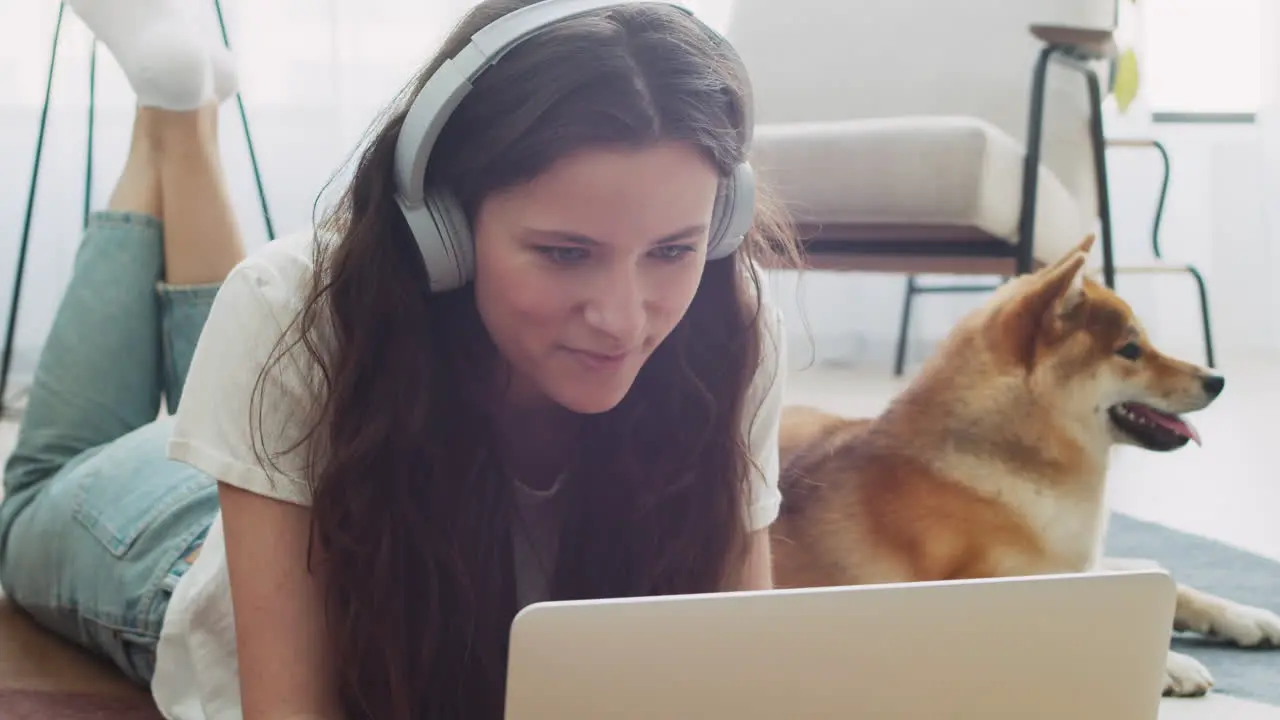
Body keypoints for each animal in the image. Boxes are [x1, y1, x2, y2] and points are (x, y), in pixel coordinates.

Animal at [768, 235, 1280, 696]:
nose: (1218, 379)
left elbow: (1175, 586)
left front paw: (1245, 616)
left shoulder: (1076, 561)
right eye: (1131, 350)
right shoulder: (988, 582)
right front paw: (1172, 665)